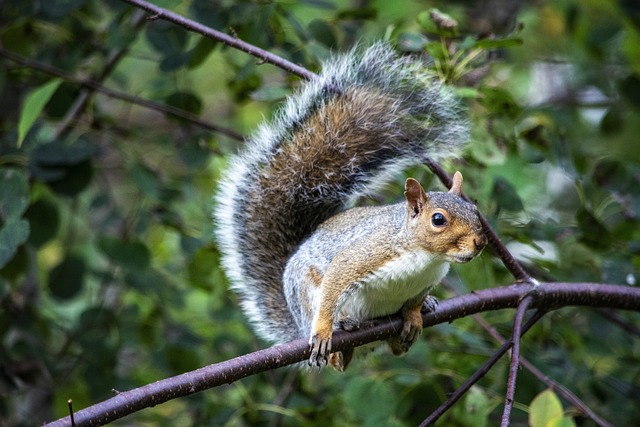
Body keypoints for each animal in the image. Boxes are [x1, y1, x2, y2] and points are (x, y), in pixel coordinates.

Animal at [215, 42, 484, 372]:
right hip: (304, 289)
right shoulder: (363, 254)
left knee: (393, 348)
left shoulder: (426, 283)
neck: (425, 258)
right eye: (438, 219)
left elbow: (414, 302)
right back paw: (338, 332)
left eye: (475, 211)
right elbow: (335, 283)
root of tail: (296, 325)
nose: (480, 242)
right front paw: (323, 330)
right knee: (335, 350)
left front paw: (414, 315)